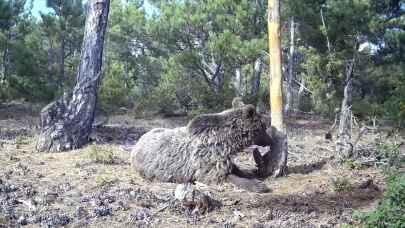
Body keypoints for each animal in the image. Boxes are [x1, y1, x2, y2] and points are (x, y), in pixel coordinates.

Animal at [131, 105, 272, 192]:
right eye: (264, 127)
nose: (270, 140)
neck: (227, 143)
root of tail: (137, 142)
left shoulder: (222, 158)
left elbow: (234, 168)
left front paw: (248, 173)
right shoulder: (207, 163)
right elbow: (223, 176)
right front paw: (258, 185)